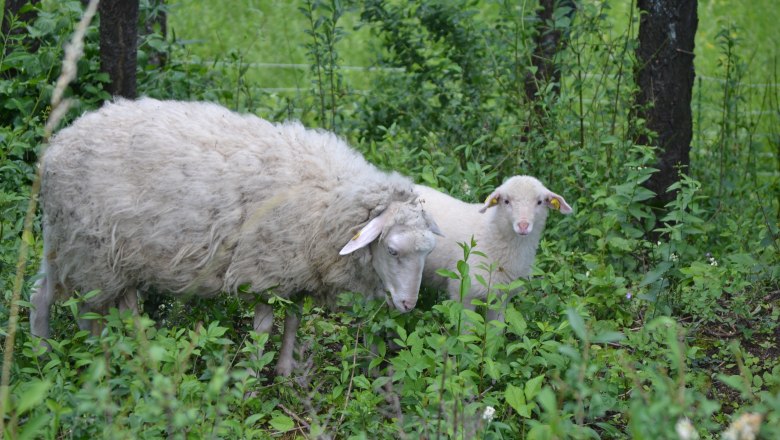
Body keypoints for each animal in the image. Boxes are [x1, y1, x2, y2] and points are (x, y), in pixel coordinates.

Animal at [30, 98, 442, 376]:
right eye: (392, 250)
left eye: (427, 254)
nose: (408, 305)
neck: (329, 199)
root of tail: (57, 145)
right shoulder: (263, 270)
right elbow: (263, 329)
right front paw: (252, 379)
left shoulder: (295, 272)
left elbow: (293, 321)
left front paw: (285, 371)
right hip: (88, 249)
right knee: (77, 308)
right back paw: (71, 356)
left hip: (76, 246)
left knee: (50, 294)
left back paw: (68, 354)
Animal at [414, 176, 572, 324]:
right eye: (506, 201)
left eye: (539, 202)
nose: (523, 226)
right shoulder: (463, 292)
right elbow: (466, 330)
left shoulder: (502, 296)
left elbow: (495, 328)